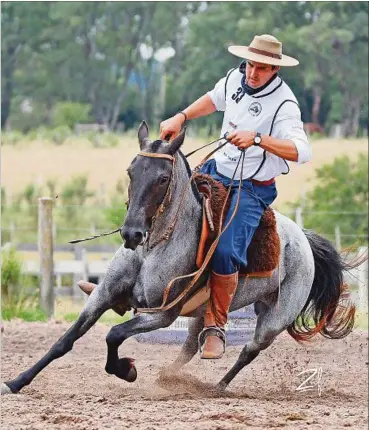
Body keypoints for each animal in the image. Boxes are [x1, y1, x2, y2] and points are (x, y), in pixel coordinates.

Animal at [1, 122, 360, 394]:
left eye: (162, 178)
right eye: (131, 172)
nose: (131, 234)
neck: (153, 248)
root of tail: (302, 238)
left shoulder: (162, 314)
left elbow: (113, 334)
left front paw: (126, 370)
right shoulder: (102, 295)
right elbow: (66, 340)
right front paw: (17, 382)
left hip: (274, 320)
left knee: (248, 350)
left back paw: (217, 387)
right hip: (206, 312)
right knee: (192, 345)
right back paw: (170, 377)